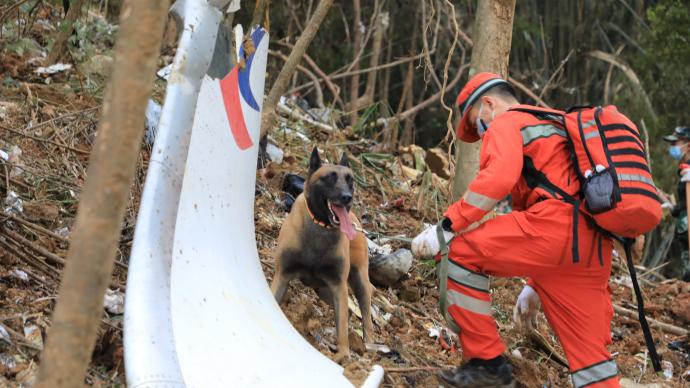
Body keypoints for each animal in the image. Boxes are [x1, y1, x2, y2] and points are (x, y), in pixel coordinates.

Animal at [272, 147, 374, 362]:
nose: (347, 197)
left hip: (358, 282)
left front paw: (343, 354)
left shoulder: (338, 286)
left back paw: (368, 344)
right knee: (348, 314)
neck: (321, 226)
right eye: (329, 178)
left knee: (364, 314)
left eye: (350, 180)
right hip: (323, 290)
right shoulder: (282, 276)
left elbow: (342, 326)